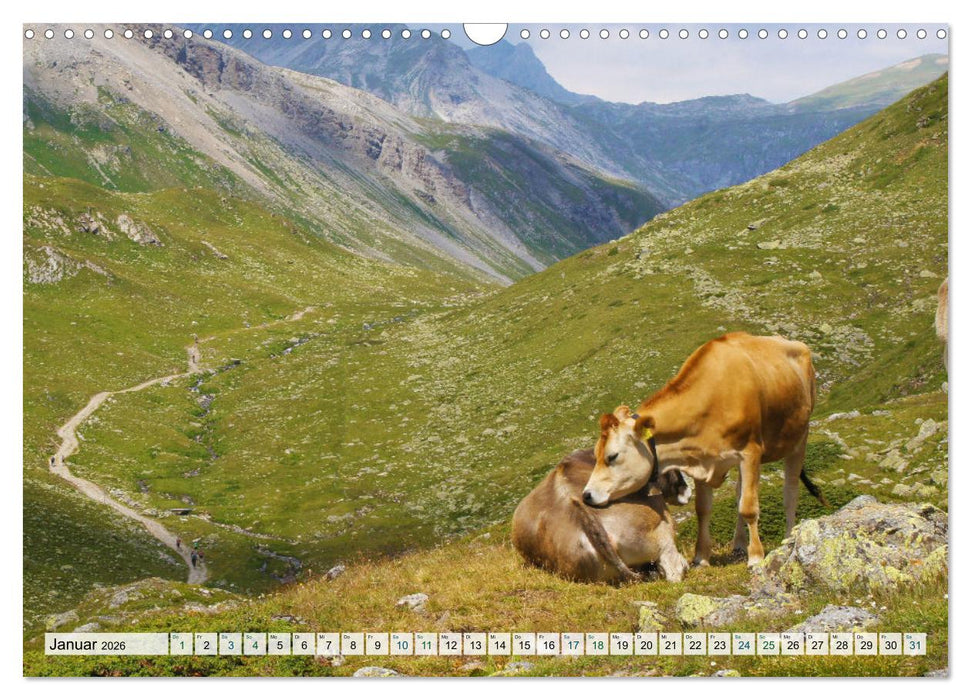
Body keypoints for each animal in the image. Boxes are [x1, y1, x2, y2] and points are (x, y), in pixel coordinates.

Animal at [583, 332, 827, 568]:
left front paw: (756, 557)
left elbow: (749, 507)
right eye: (595, 455)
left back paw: (787, 537)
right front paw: (701, 557)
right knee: (739, 492)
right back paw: (739, 544)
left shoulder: (750, 453)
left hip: (799, 438)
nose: (586, 495)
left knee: (790, 491)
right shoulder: (700, 460)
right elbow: (704, 509)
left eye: (612, 456)